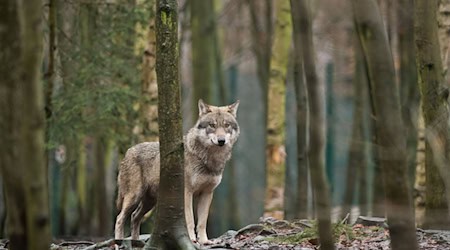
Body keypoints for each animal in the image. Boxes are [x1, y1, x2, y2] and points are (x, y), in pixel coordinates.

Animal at [115, 99, 239, 244]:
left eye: (226, 125)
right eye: (212, 125)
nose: (221, 141)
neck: (208, 158)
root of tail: (128, 151)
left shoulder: (207, 193)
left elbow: (202, 222)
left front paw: (204, 241)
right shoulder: (187, 192)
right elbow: (190, 219)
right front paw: (191, 239)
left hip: (150, 202)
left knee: (135, 217)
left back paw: (136, 242)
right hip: (134, 197)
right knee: (120, 218)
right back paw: (118, 243)